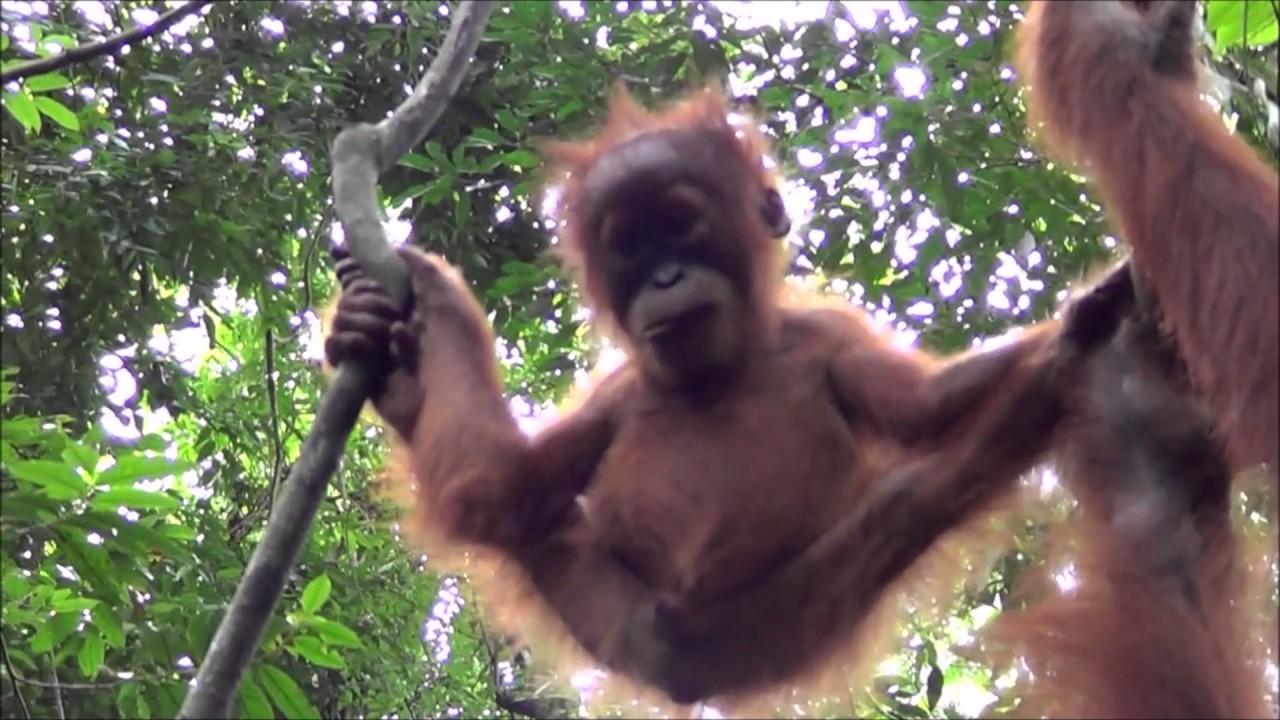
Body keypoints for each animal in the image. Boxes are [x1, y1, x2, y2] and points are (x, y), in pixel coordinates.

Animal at [323, 85, 1134, 714]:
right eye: (630, 246)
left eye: (682, 225)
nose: (667, 277)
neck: (719, 371)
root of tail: (687, 671)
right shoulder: (618, 394)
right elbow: (500, 488)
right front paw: (434, 295)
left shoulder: (826, 337)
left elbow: (926, 405)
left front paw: (1086, 309)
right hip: (618, 618)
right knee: (520, 516)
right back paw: (400, 383)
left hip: (790, 614)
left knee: (922, 493)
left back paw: (1067, 356)